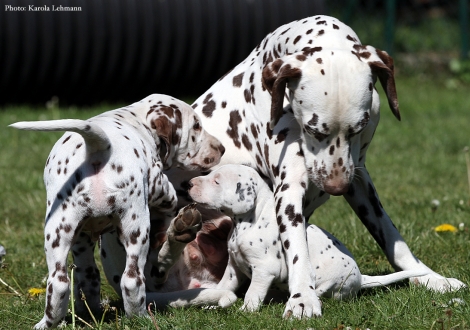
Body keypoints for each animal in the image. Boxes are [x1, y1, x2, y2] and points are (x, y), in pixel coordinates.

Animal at [9, 94, 226, 328]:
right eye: (196, 126)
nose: (221, 148)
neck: (136, 119)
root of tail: (98, 146)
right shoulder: (156, 179)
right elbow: (167, 192)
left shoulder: (81, 239)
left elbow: (86, 278)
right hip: (136, 227)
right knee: (132, 279)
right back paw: (140, 317)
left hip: (57, 232)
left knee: (59, 283)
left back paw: (48, 323)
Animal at [187, 165, 430, 312]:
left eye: (217, 181)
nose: (189, 183)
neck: (247, 222)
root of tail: (362, 278)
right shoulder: (233, 268)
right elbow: (224, 287)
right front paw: (213, 304)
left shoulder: (264, 269)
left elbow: (252, 294)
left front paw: (246, 310)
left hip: (332, 281)